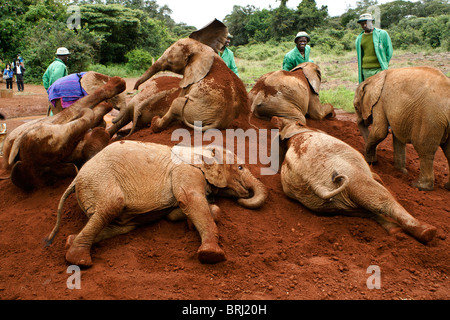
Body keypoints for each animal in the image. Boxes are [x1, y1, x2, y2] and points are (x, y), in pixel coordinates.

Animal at [44, 141, 268, 266]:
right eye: (240, 167)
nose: (244, 195)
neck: (200, 149)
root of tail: (74, 180)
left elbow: (175, 212)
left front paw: (191, 222)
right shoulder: (185, 171)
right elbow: (190, 200)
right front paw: (211, 256)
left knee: (120, 225)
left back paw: (70, 241)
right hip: (99, 182)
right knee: (112, 206)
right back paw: (79, 260)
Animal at [272, 116, 438, 244]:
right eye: (301, 123)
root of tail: (316, 185)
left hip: (326, 204)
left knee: (366, 209)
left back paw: (396, 231)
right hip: (349, 175)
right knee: (381, 198)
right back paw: (427, 232)